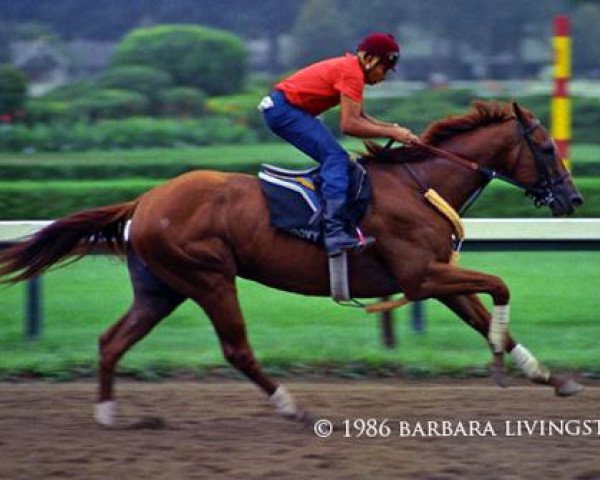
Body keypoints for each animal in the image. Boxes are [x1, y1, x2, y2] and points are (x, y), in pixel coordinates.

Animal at [0, 100, 580, 424]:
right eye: (546, 146)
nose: (573, 199)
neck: (419, 185)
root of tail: (144, 201)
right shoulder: (420, 276)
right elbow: (500, 285)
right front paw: (504, 368)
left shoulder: (436, 276)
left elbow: (486, 316)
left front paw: (548, 376)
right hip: (208, 277)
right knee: (236, 349)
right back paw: (292, 406)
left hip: (162, 288)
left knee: (111, 341)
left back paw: (108, 415)